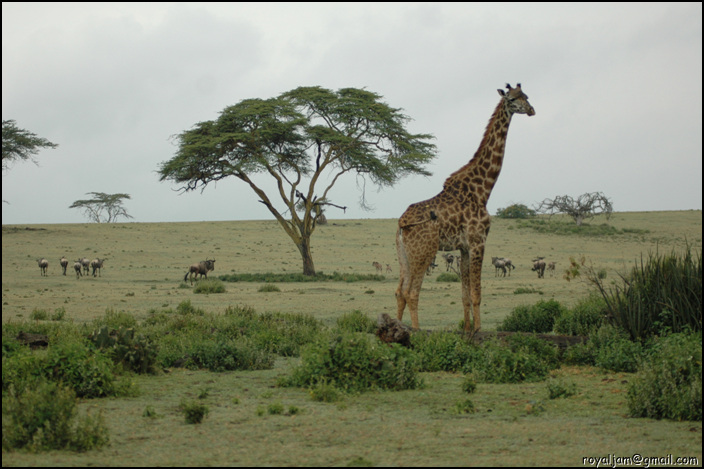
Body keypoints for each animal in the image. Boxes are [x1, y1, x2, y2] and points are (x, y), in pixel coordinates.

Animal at [394, 85, 536, 332]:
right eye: (512, 99)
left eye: (525, 96)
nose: (531, 110)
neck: (482, 190)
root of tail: (402, 223)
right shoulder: (479, 241)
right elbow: (477, 294)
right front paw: (478, 330)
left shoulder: (464, 247)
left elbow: (464, 295)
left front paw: (468, 330)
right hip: (423, 251)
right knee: (411, 292)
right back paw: (415, 332)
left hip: (404, 254)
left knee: (399, 292)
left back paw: (396, 329)